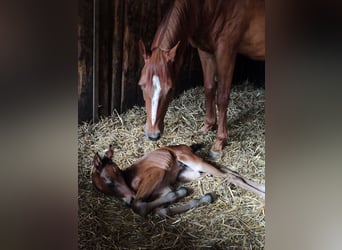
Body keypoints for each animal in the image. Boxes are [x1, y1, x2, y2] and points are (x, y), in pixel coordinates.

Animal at [92, 145, 266, 217]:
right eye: (108, 182)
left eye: (112, 178)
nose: (129, 199)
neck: (129, 177)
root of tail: (186, 147)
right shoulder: (164, 189)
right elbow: (162, 210)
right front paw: (203, 197)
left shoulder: (156, 174)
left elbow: (139, 207)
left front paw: (183, 192)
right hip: (191, 173)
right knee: (229, 171)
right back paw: (263, 187)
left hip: (194, 163)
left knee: (230, 176)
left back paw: (262, 194)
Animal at [138, 0, 264, 156]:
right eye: (141, 85)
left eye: (171, 89)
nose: (153, 135)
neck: (209, 7)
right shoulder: (205, 51)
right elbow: (209, 88)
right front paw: (208, 126)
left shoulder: (226, 52)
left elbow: (222, 98)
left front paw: (219, 142)